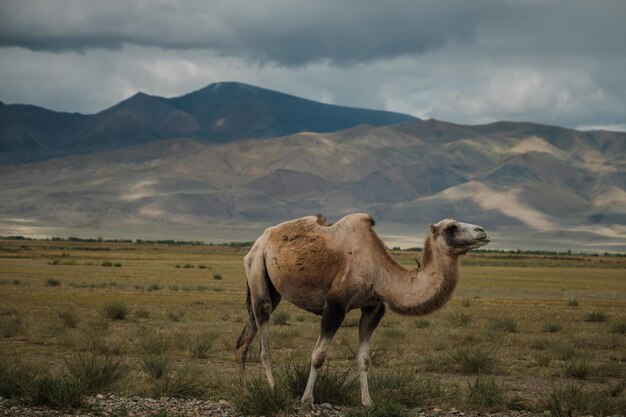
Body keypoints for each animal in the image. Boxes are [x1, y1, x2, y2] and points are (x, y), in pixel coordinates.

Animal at [234, 213, 488, 404]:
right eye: (452, 227)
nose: (482, 231)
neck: (380, 273)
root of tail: (259, 241)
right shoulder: (336, 305)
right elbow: (318, 356)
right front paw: (307, 400)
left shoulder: (373, 308)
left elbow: (364, 359)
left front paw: (367, 402)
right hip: (257, 269)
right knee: (263, 327)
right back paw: (273, 389)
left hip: (269, 285)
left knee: (243, 339)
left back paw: (245, 391)